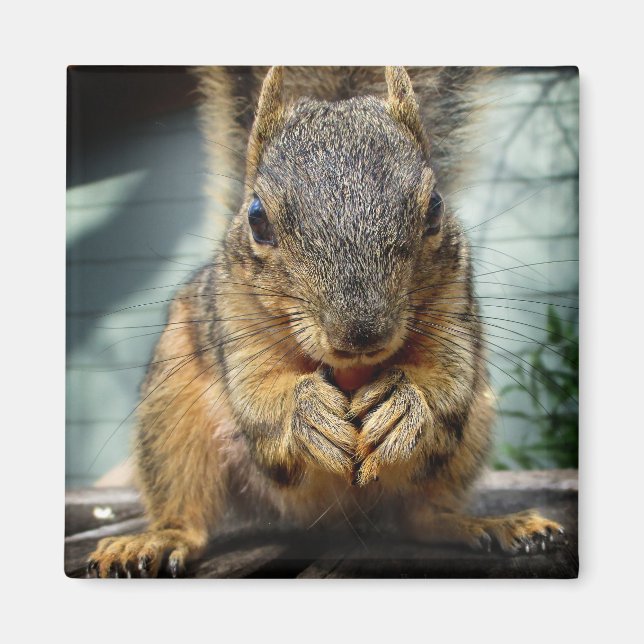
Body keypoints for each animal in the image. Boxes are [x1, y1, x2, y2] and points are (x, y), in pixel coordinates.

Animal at [88, 66, 565, 578]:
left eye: (436, 206)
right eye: (257, 218)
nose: (360, 333)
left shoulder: (454, 304)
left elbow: (447, 378)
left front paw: (405, 403)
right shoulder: (234, 317)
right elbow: (258, 392)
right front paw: (305, 412)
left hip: (464, 443)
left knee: (422, 516)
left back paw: (487, 524)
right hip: (171, 418)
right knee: (185, 509)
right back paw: (154, 539)